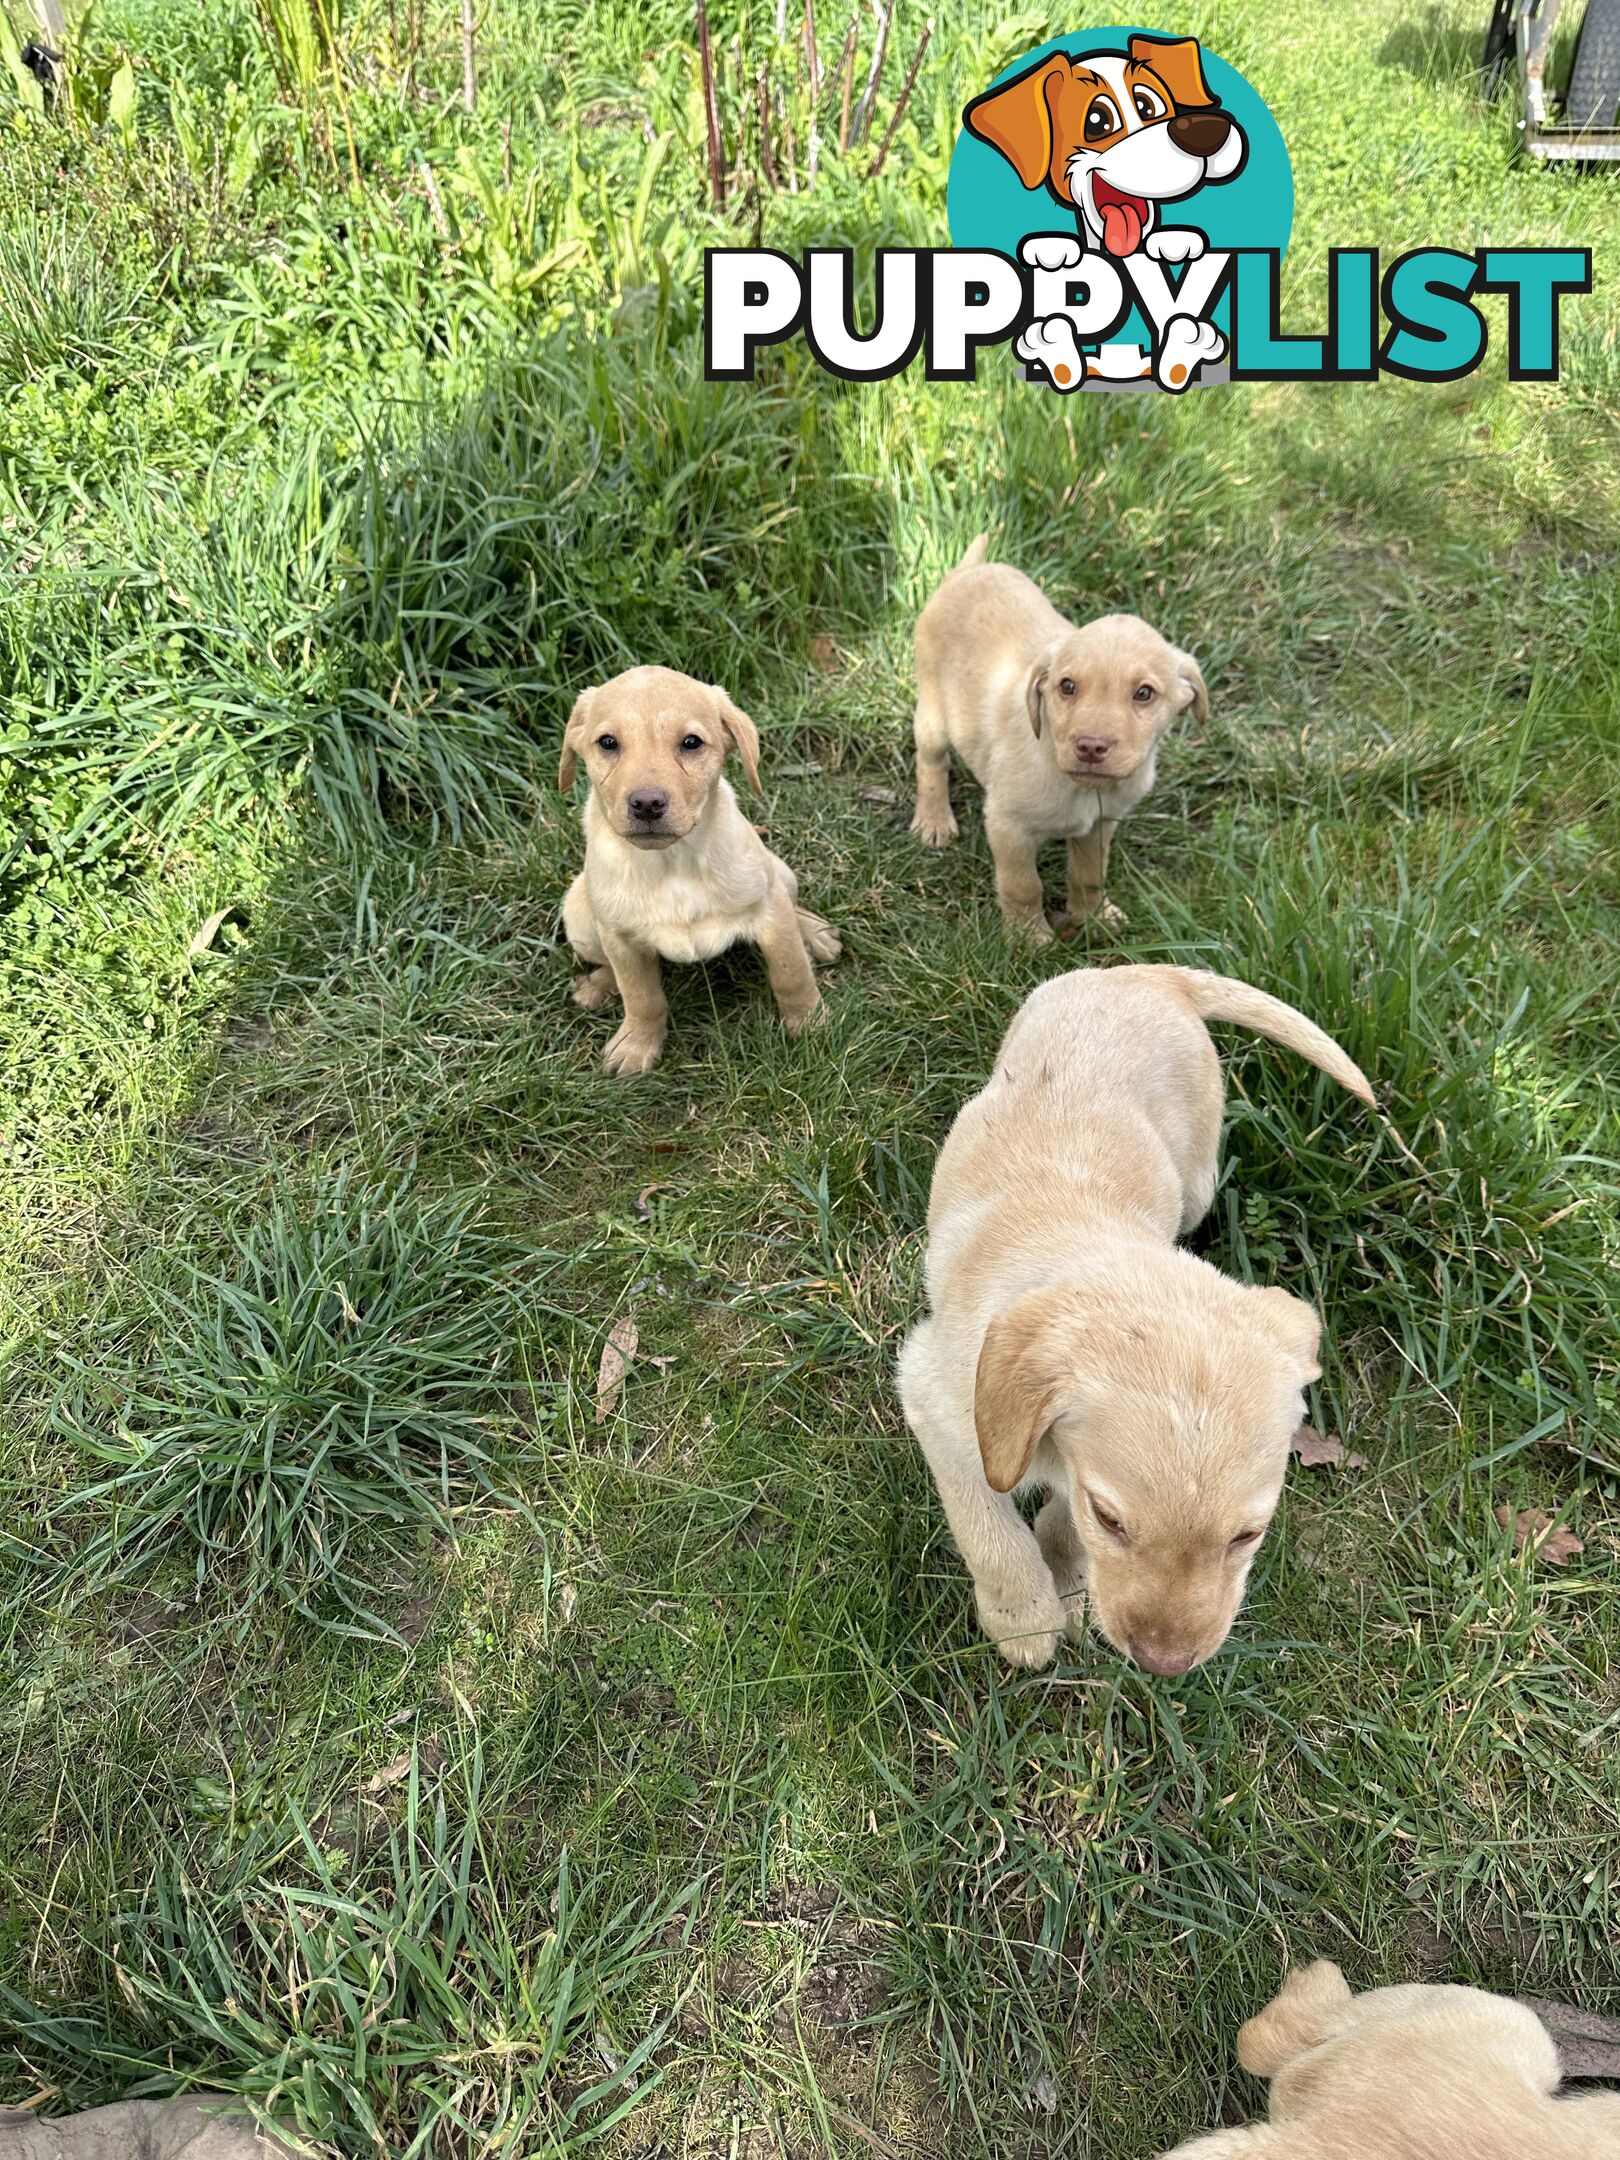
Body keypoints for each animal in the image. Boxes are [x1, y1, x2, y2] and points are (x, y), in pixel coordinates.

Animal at [561, 660, 842, 1075]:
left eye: (691, 742)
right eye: (608, 743)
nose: (647, 804)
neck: (672, 862)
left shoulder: (769, 911)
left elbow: (790, 972)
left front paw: (808, 1022)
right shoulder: (619, 937)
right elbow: (641, 996)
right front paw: (636, 1044)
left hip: (779, 872)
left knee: (791, 903)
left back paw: (814, 933)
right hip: (580, 919)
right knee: (611, 965)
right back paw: (599, 984)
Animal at [894, 972, 1373, 1676]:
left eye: (1247, 1535)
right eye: (1112, 1519)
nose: (1163, 1664)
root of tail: (1150, 973)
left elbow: (1058, 1521)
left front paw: (1067, 1581)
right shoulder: (935, 1402)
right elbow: (991, 1531)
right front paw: (1025, 1619)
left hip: (1199, 1179)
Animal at [915, 533, 1209, 937]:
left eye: (1144, 693)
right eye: (1067, 687)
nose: (1091, 746)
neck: (1080, 786)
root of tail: (967, 572)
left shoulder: (1101, 824)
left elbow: (1089, 875)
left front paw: (1093, 917)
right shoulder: (1008, 825)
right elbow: (1023, 886)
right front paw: (1029, 937)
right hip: (933, 712)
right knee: (931, 762)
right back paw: (934, 819)